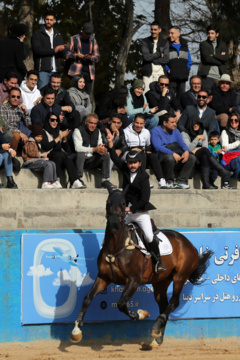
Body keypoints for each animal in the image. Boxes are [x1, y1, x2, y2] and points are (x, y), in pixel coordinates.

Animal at [70, 186, 213, 346]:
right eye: (107, 202)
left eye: (123, 202)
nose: (114, 223)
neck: (116, 247)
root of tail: (188, 243)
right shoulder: (104, 277)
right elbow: (87, 298)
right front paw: (76, 329)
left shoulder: (134, 280)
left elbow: (121, 304)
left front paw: (138, 315)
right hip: (161, 282)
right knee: (163, 305)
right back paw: (158, 336)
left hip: (180, 277)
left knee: (174, 302)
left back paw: (156, 327)